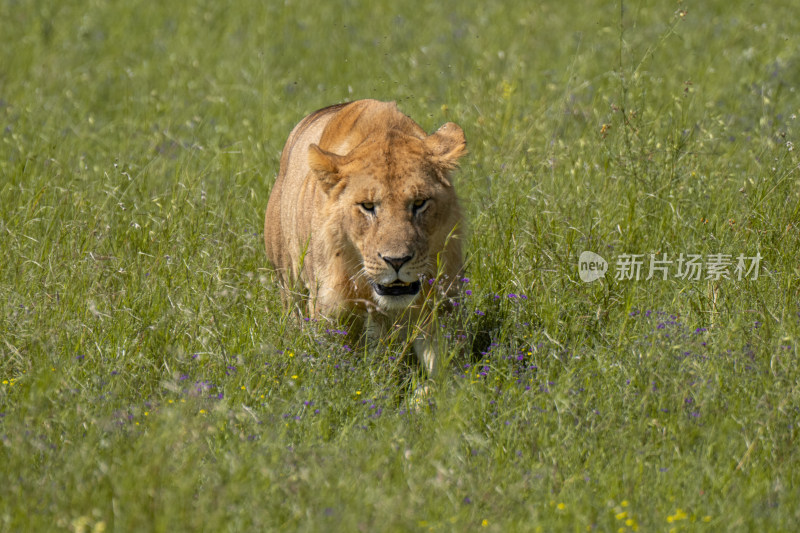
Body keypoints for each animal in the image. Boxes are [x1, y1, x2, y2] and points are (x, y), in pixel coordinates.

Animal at [268, 98, 468, 374]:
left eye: (419, 203)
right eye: (367, 206)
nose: (396, 261)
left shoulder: (440, 306)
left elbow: (445, 370)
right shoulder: (328, 314)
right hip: (289, 281)